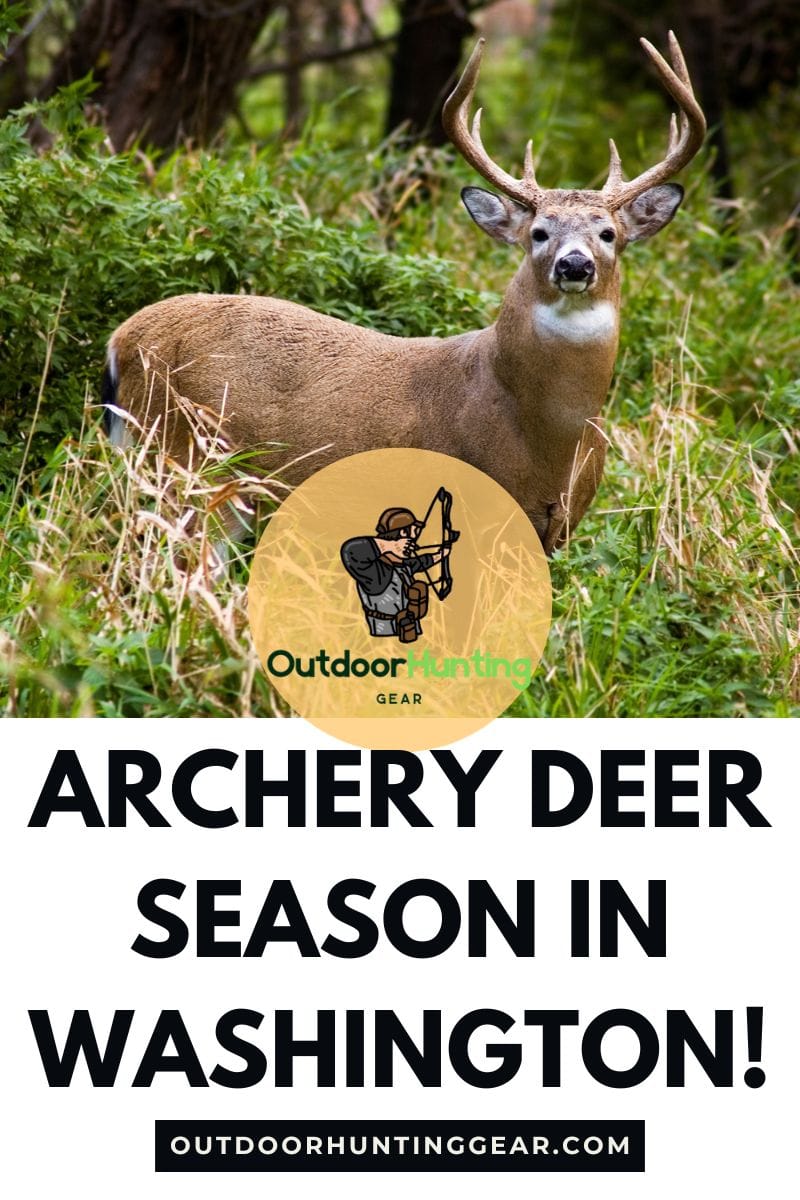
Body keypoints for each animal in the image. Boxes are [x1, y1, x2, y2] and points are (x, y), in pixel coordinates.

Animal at [102, 33, 705, 555]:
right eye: (538, 232)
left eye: (608, 233)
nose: (574, 264)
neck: (548, 436)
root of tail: (121, 338)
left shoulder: (561, 528)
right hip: (186, 459)